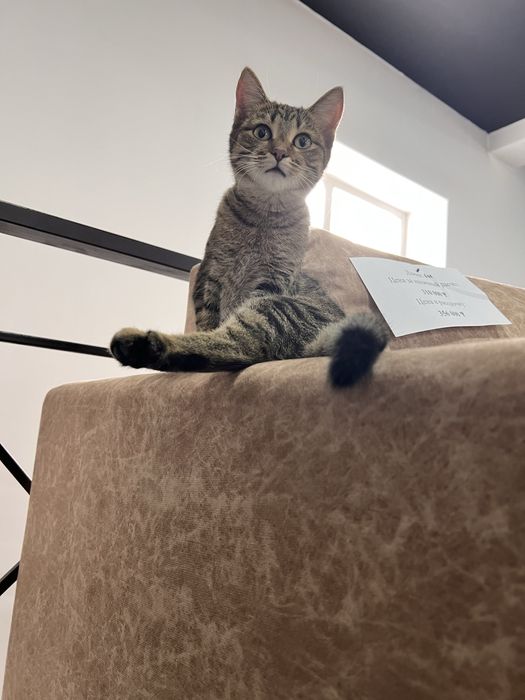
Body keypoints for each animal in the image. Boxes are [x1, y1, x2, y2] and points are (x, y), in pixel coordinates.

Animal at [110, 68, 388, 387]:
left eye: (302, 141)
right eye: (262, 132)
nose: (279, 152)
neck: (262, 217)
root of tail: (315, 347)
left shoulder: (270, 282)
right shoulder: (210, 276)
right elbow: (207, 321)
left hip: (277, 308)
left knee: (240, 347)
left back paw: (138, 344)